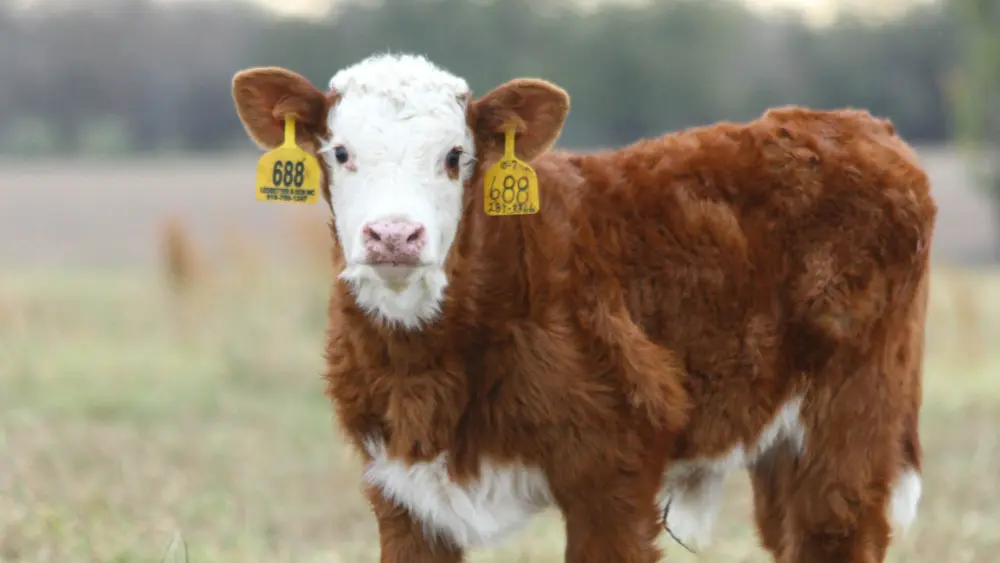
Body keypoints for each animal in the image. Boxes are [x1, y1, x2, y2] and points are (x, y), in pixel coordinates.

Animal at [231, 52, 936, 563]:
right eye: (340, 153)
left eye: (455, 156)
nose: (395, 236)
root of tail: (860, 126)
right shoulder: (401, 490)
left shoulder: (614, 470)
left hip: (851, 416)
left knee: (836, 528)